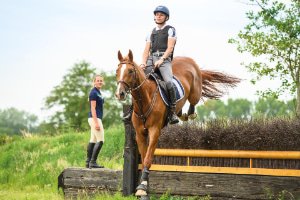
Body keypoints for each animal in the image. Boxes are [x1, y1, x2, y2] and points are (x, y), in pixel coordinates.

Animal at [115, 50, 241, 198]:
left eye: (130, 71)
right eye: (117, 70)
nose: (119, 93)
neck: (145, 99)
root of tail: (189, 60)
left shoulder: (155, 131)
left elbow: (148, 158)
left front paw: (142, 187)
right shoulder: (140, 134)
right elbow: (145, 155)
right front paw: (144, 187)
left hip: (195, 92)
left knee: (193, 102)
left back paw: (188, 114)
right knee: (180, 106)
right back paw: (179, 114)